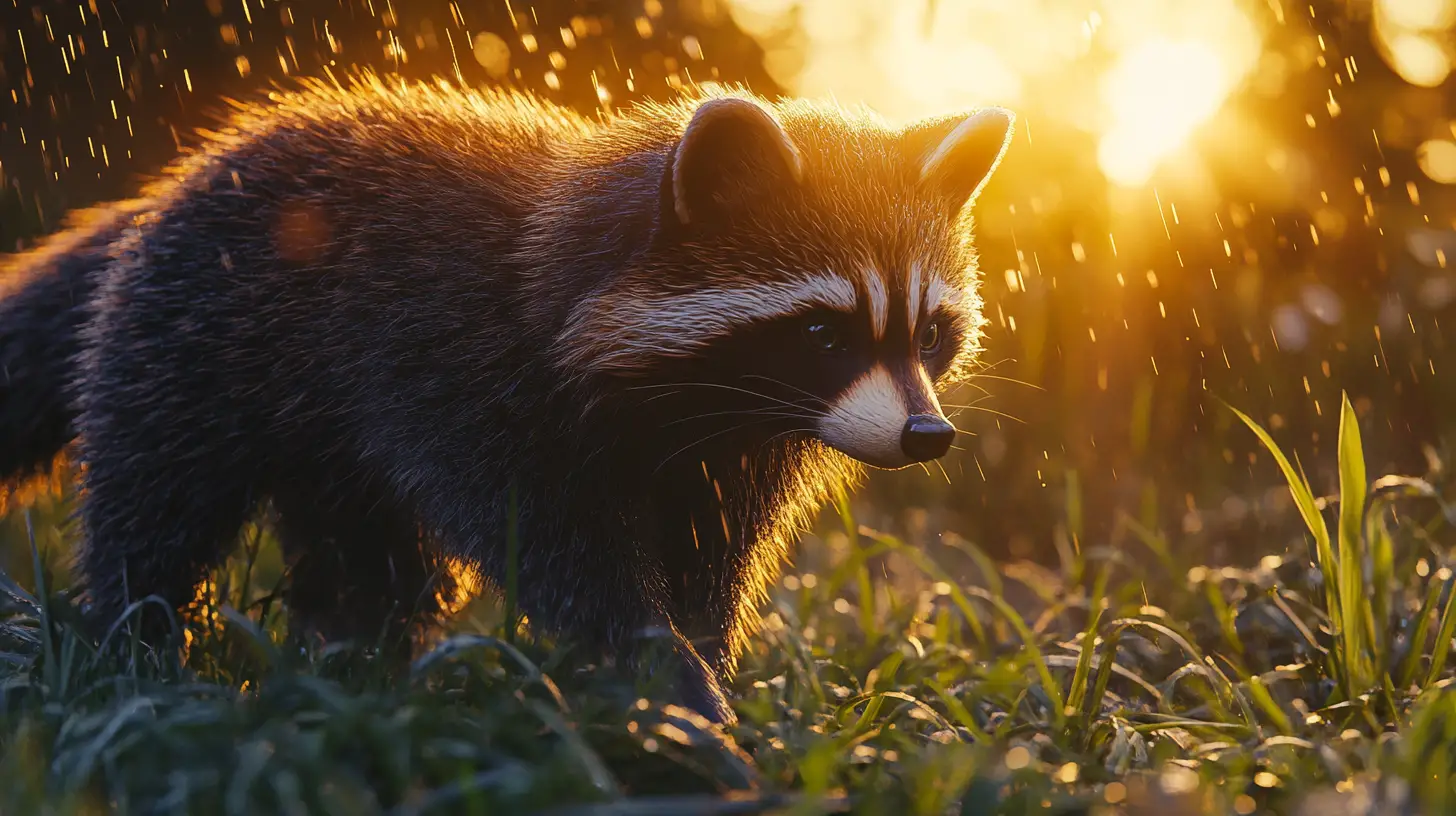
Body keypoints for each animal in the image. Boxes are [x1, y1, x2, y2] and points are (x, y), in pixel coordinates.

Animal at [0, 75, 1012, 722]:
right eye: (824, 333)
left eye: (929, 331)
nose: (926, 433)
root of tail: (162, 194)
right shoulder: (470, 370)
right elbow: (558, 547)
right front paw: (663, 674)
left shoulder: (731, 447)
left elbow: (709, 558)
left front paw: (693, 658)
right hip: (196, 333)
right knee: (157, 495)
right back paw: (136, 642)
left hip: (316, 434)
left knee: (378, 559)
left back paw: (358, 659)